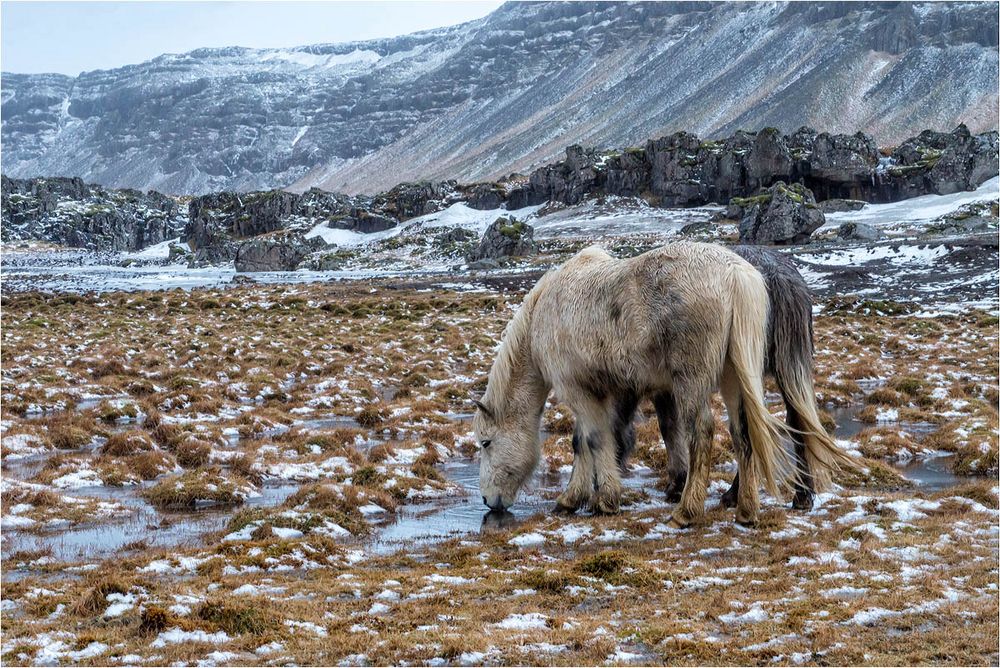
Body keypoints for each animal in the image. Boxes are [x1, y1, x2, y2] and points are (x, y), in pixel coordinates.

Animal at [472, 240, 792, 528]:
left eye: (486, 442)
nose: (488, 501)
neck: (545, 312)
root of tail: (735, 274)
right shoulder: (598, 393)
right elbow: (581, 442)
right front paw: (573, 499)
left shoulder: (577, 390)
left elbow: (594, 440)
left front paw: (604, 500)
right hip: (733, 377)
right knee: (742, 431)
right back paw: (746, 511)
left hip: (691, 381)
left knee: (701, 432)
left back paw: (686, 512)